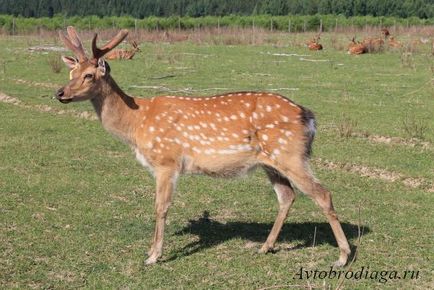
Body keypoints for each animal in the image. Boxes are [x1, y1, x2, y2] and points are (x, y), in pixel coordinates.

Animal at [56, 27, 350, 268]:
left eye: (89, 75)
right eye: (71, 72)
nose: (59, 93)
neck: (136, 123)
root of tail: (309, 117)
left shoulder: (167, 161)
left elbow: (160, 207)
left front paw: (153, 256)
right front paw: (151, 252)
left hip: (291, 154)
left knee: (322, 194)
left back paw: (342, 257)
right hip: (271, 162)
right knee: (287, 196)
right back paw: (265, 247)